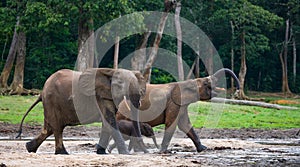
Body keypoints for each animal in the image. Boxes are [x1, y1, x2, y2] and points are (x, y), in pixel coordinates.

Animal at [16, 67, 148, 154]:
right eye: (120, 84)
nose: (147, 151)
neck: (111, 71)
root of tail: (41, 92)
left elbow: (107, 122)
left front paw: (101, 152)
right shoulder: (99, 96)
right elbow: (110, 120)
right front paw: (125, 153)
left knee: (49, 128)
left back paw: (29, 148)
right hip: (51, 101)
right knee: (57, 128)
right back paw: (62, 153)